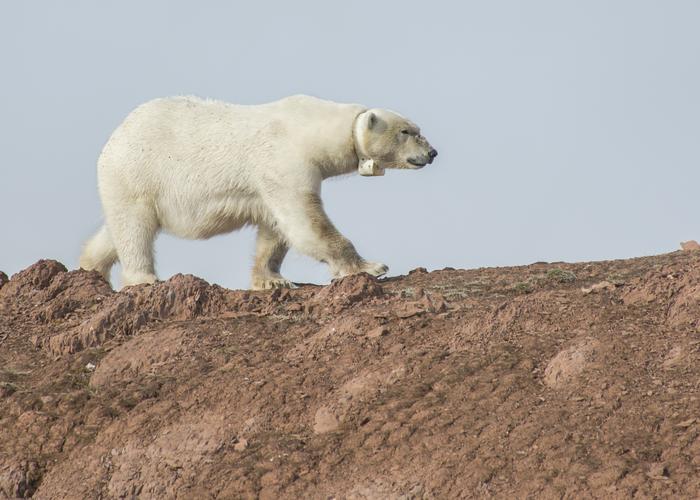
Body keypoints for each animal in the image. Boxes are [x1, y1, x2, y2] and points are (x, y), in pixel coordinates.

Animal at [78, 94, 438, 290]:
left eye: (416, 129)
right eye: (408, 131)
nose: (433, 152)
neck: (310, 127)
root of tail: (117, 134)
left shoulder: (268, 182)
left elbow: (275, 229)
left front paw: (271, 280)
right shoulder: (286, 162)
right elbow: (306, 222)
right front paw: (371, 267)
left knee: (115, 231)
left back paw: (91, 268)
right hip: (138, 174)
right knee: (135, 229)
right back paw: (144, 278)